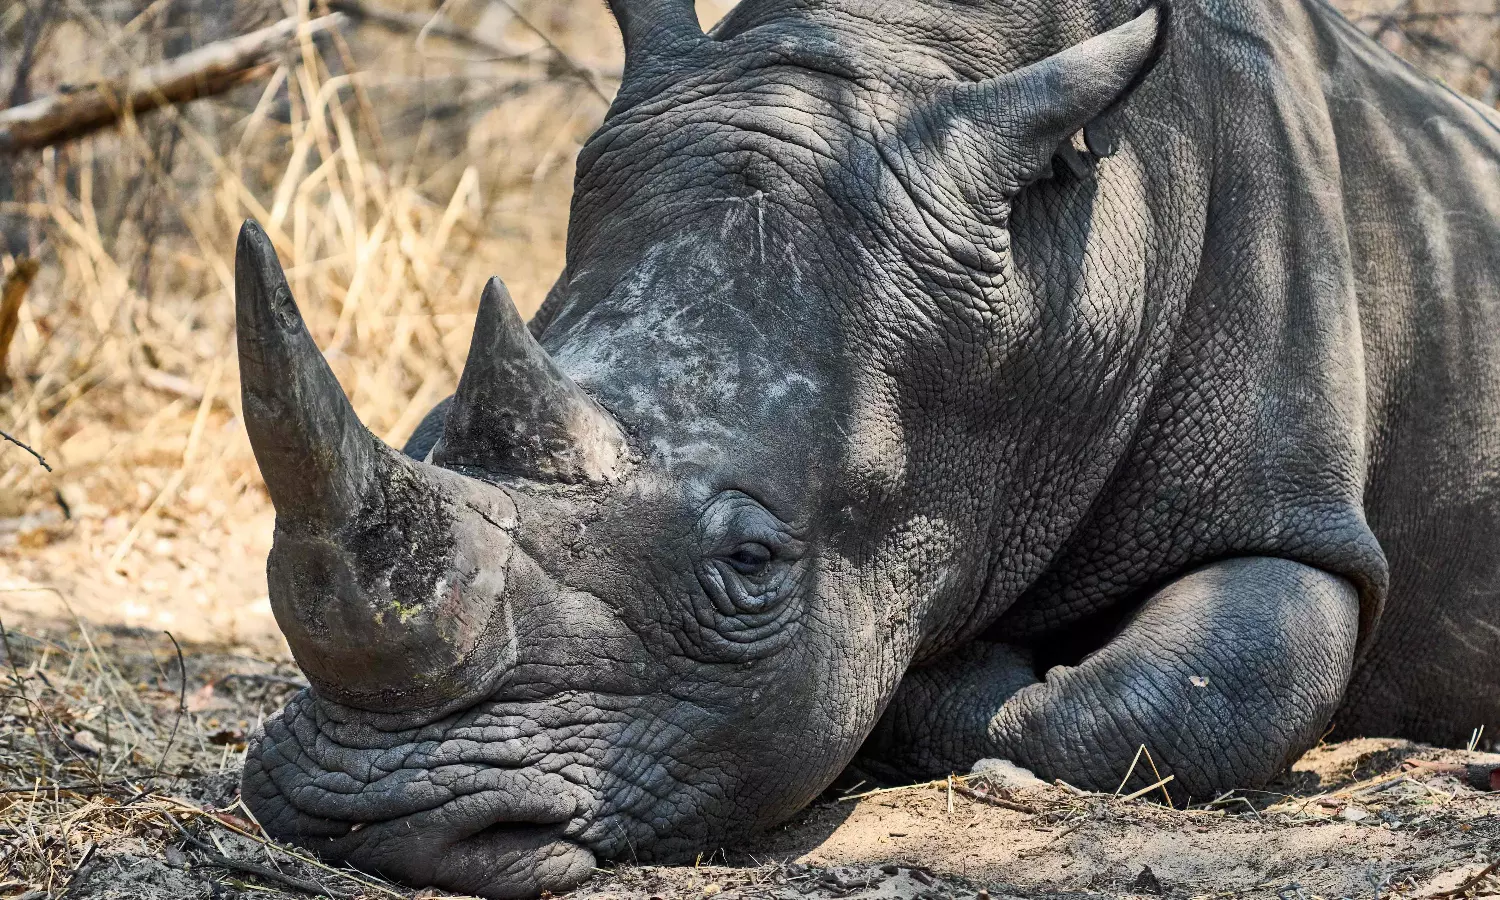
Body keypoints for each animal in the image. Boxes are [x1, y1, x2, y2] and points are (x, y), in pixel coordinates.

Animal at [237, 0, 1500, 894]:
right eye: (430, 433)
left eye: (751, 563)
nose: (360, 812)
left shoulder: (1298, 520)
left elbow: (1198, 686)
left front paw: (967, 673)